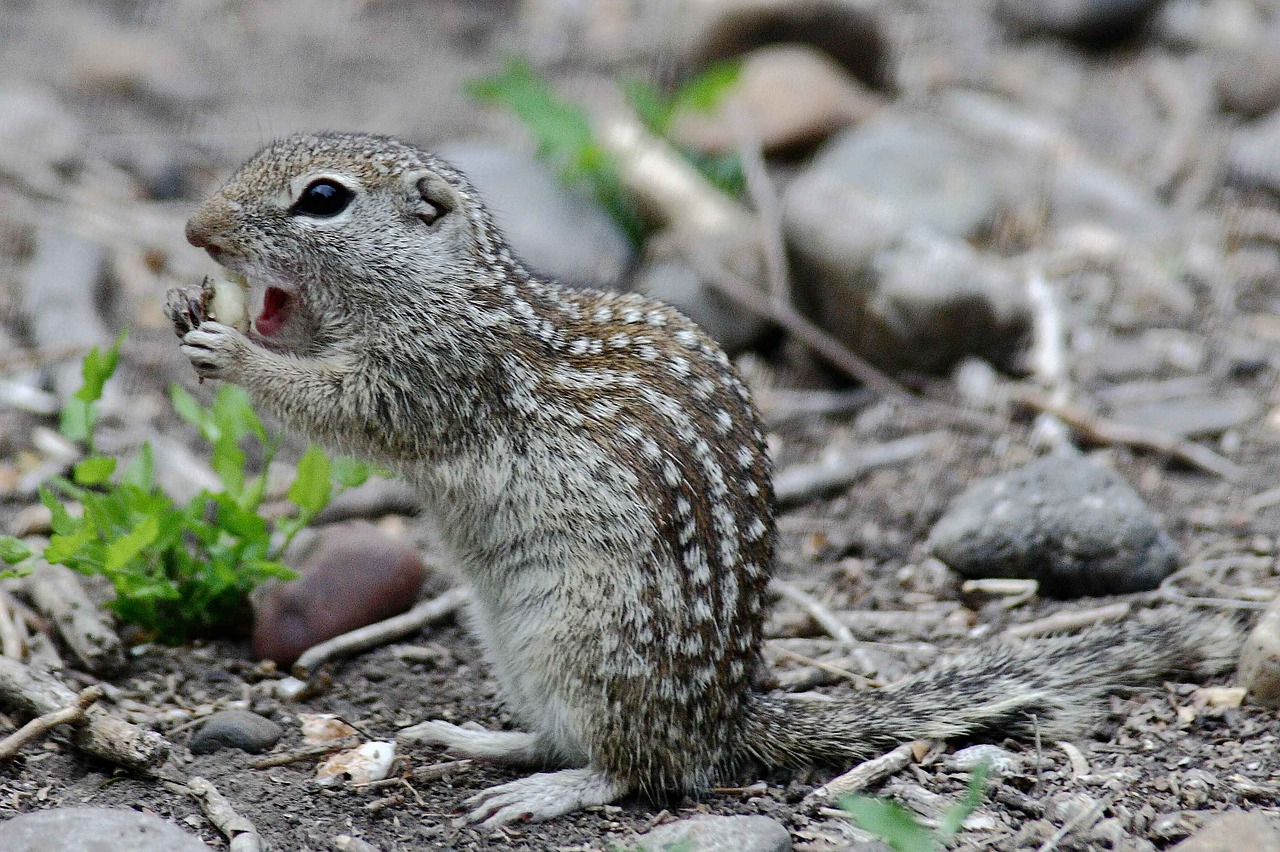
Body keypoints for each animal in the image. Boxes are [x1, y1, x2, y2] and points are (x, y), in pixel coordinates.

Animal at [165, 133, 1233, 823]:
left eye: (323, 199)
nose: (194, 231)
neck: (453, 290)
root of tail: (728, 721)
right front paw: (192, 313)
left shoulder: (435, 373)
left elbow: (345, 409)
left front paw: (232, 350)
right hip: (512, 641)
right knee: (578, 738)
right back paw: (480, 742)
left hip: (583, 639)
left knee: (637, 768)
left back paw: (544, 788)